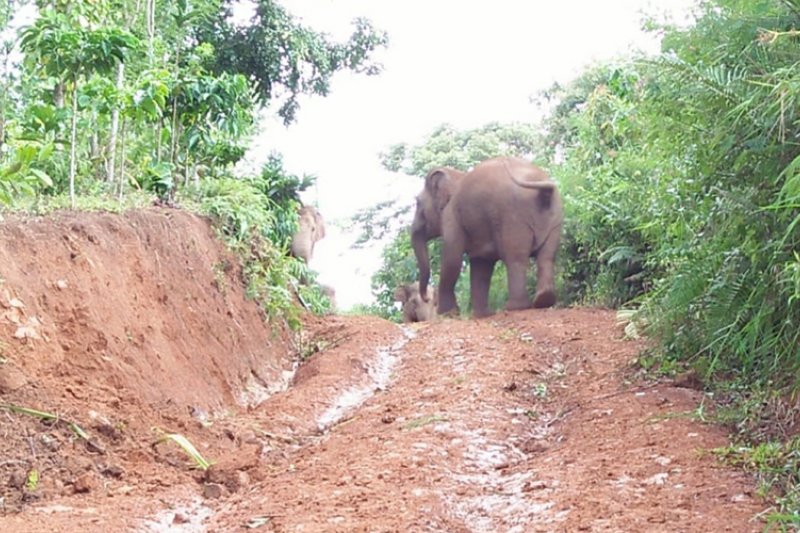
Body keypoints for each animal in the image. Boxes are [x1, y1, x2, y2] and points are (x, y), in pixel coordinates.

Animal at [412, 156, 564, 318]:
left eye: (417, 202)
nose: (427, 298)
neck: (454, 174)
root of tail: (544, 188)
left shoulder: (451, 215)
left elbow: (452, 258)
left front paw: (447, 313)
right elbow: (481, 263)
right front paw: (482, 315)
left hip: (513, 216)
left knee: (516, 258)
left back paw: (514, 307)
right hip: (555, 218)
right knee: (547, 256)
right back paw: (544, 299)